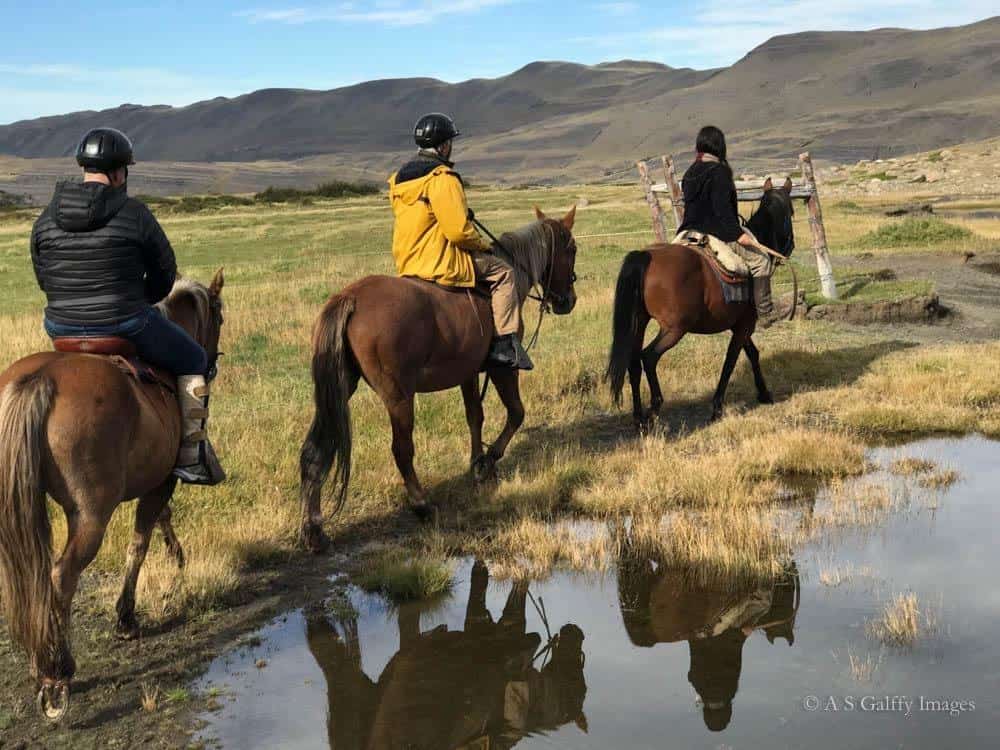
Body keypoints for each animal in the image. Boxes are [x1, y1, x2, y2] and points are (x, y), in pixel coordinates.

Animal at [0, 270, 225, 724]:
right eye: (220, 316)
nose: (211, 361)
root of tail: (39, 380)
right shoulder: (161, 480)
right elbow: (140, 541)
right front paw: (126, 617)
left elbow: (159, 522)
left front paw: (176, 558)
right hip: (90, 515)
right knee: (60, 577)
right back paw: (57, 673)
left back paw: (38, 662)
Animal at [296, 206, 580, 552]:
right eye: (572, 249)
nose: (568, 301)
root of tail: (351, 297)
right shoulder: (502, 369)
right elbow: (516, 413)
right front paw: (489, 461)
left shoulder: (468, 372)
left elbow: (475, 416)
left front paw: (476, 463)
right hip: (399, 397)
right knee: (402, 450)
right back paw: (421, 504)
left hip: (338, 389)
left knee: (314, 451)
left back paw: (314, 529)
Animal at [600, 178, 796, 432]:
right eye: (791, 212)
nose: (789, 248)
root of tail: (645, 255)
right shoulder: (744, 325)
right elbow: (731, 361)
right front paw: (717, 408)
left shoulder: (739, 325)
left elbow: (752, 354)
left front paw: (764, 394)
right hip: (674, 329)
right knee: (649, 357)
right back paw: (654, 409)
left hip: (640, 323)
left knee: (633, 362)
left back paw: (639, 418)